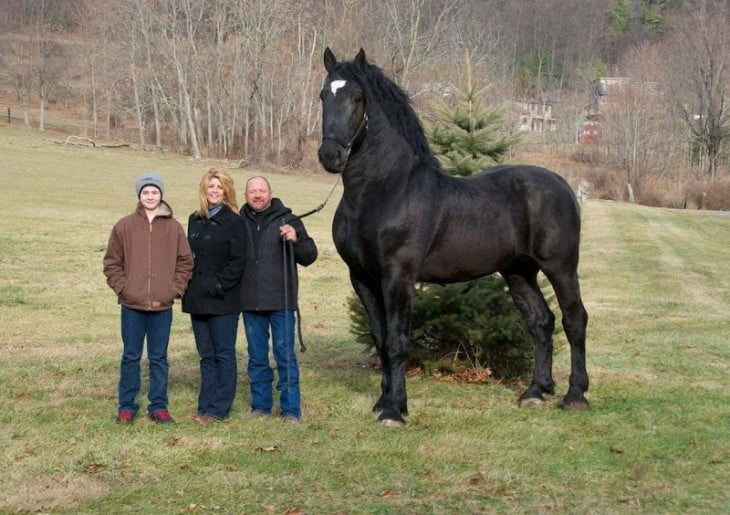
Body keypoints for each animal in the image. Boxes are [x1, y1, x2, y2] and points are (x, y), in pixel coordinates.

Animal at [316, 47, 588, 428]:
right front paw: (384, 400)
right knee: (541, 322)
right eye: (324, 96)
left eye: (357, 98)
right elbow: (381, 339)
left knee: (574, 320)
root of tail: (562, 185)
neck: (385, 190)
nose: (331, 156)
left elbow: (398, 342)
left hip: (560, 267)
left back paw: (575, 395)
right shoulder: (362, 279)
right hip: (519, 272)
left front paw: (394, 411)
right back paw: (536, 391)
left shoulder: (398, 278)